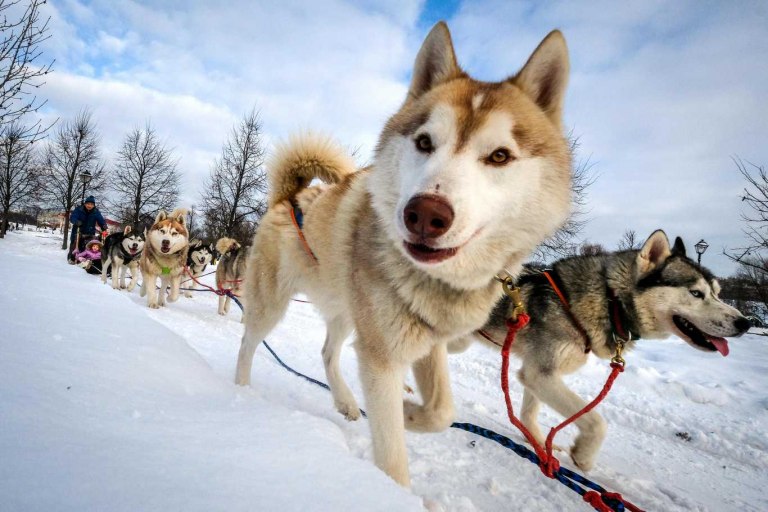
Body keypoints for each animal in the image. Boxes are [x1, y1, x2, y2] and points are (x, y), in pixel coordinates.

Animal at [234, 21, 576, 484]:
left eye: (500, 156)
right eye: (425, 142)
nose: (425, 215)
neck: (433, 280)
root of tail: (288, 197)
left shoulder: (427, 340)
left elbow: (443, 410)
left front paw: (410, 411)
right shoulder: (381, 355)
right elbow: (393, 456)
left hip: (348, 312)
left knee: (329, 352)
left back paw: (346, 401)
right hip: (272, 305)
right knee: (248, 343)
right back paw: (240, 392)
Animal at [476, 230, 748, 474]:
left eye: (717, 293)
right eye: (696, 293)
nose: (745, 323)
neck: (609, 301)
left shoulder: (538, 373)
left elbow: (528, 413)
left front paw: (540, 445)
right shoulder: (540, 374)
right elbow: (597, 422)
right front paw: (584, 455)